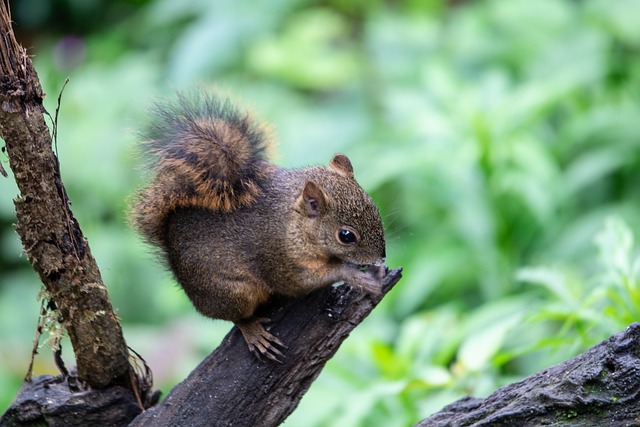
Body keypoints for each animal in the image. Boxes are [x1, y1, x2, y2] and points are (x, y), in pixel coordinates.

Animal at [131, 93, 384, 362]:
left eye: (375, 208)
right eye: (346, 236)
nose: (381, 258)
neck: (294, 224)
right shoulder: (278, 259)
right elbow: (304, 281)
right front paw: (357, 276)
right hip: (233, 292)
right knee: (235, 317)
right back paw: (252, 331)